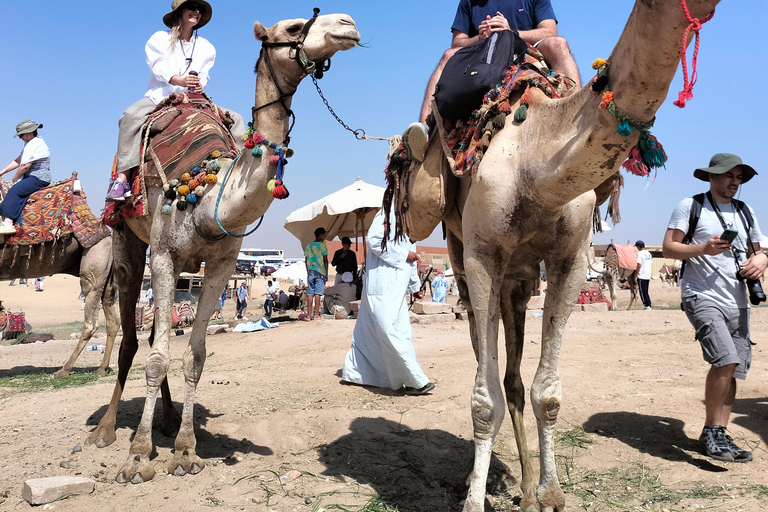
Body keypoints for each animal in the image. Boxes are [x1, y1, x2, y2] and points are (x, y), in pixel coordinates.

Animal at [0, 178, 118, 378]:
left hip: (93, 268)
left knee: (90, 323)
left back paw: (63, 370)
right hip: (107, 278)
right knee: (113, 321)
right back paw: (101, 368)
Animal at [85, 11, 362, 484]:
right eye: (292, 28)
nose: (348, 23)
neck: (208, 196)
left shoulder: (219, 266)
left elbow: (193, 356)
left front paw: (185, 450)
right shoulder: (164, 255)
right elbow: (156, 356)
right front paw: (137, 457)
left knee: (158, 336)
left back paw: (168, 421)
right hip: (127, 238)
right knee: (131, 339)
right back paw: (105, 430)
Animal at [396, 2, 720, 510]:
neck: (536, 162)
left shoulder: (570, 259)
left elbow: (546, 393)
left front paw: (548, 494)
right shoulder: (484, 254)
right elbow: (482, 400)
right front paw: (474, 499)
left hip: (519, 281)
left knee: (512, 377)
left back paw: (526, 488)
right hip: (460, 256)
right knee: (487, 363)